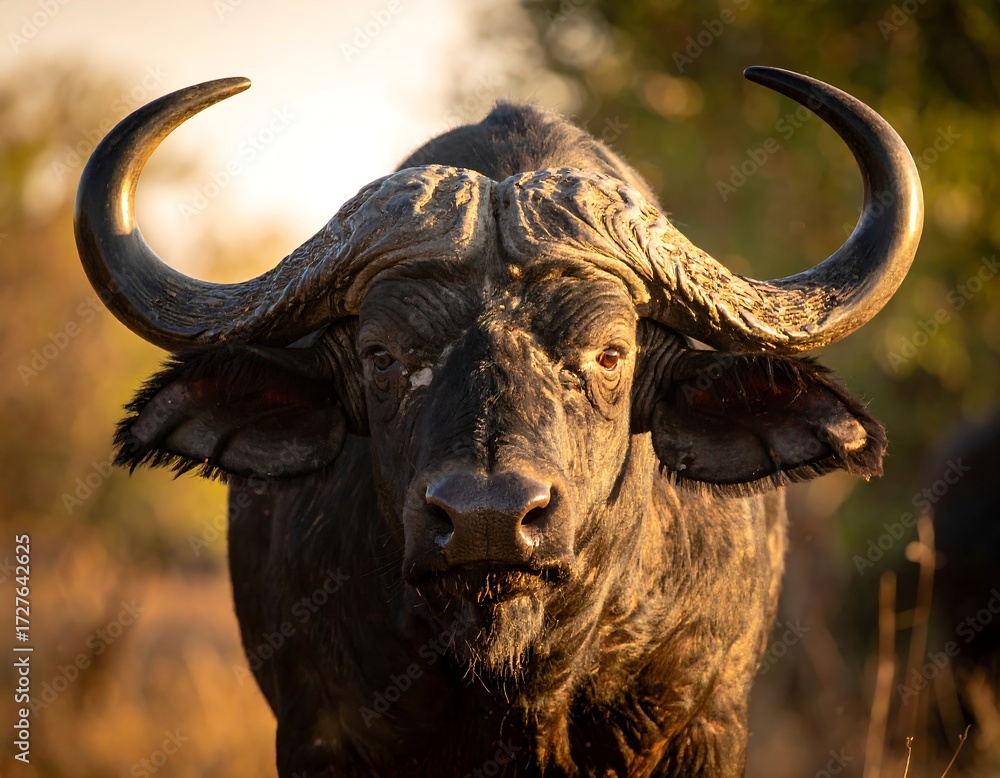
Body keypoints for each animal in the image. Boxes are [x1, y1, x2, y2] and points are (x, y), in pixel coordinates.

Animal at [74, 67, 923, 776]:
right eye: (382, 355)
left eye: (609, 354)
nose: (488, 519)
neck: (520, 670)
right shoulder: (317, 733)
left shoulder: (708, 726)